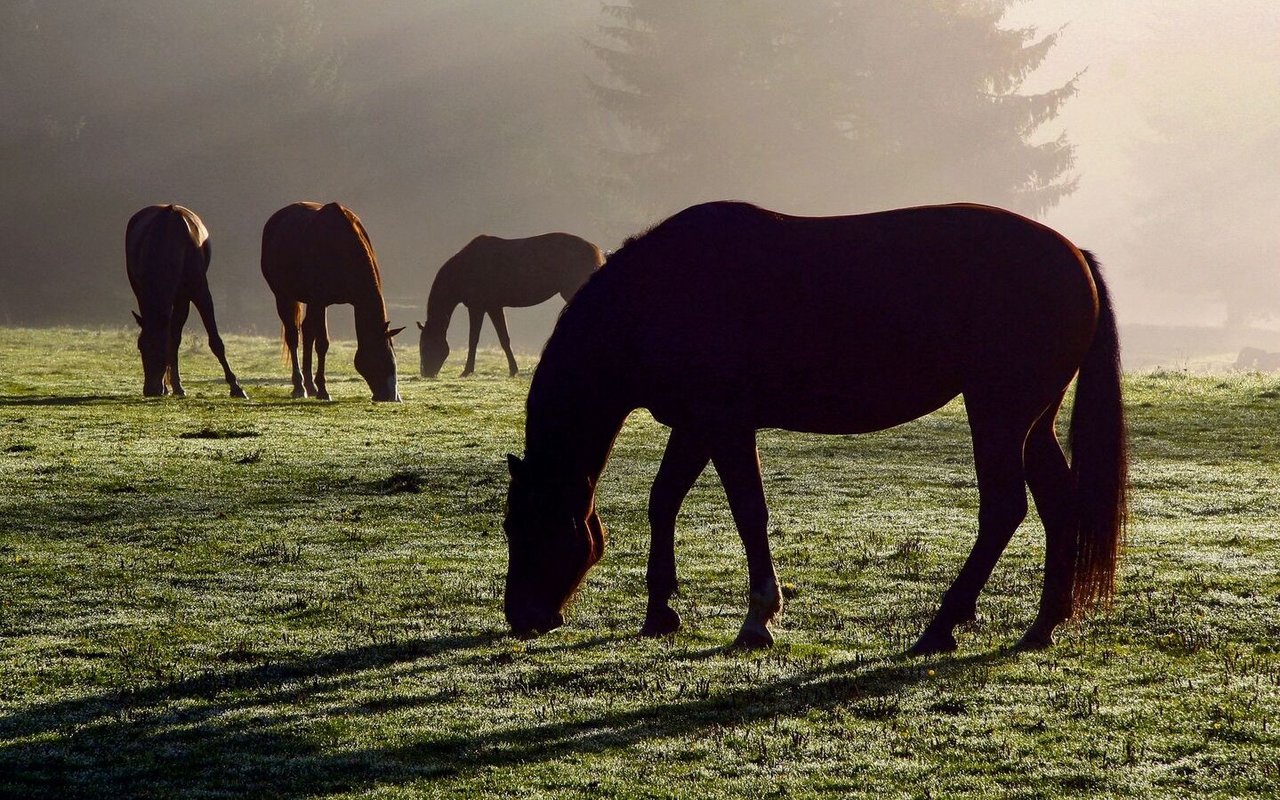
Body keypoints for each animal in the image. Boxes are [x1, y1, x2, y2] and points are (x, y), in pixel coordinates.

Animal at [124, 202, 247, 396]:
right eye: (140, 345)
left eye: (161, 347)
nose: (150, 390)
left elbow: (214, 341)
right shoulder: (145, 294)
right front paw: (168, 385)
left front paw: (236, 387)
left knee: (175, 335)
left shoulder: (198, 293)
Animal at [258, 199, 399, 399]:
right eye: (379, 359)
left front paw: (318, 387)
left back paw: (310, 386)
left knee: (307, 332)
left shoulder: (320, 303)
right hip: (283, 296)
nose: (391, 396)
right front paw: (323, 390)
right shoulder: (319, 301)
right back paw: (299, 387)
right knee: (293, 336)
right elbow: (322, 344)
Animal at [414, 234, 604, 376]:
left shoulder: (480, 307)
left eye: (425, 346)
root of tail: (596, 249)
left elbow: (478, 339)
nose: (426, 373)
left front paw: (467, 371)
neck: (463, 271)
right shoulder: (490, 307)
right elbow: (500, 338)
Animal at [504, 200, 1126, 655]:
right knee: (1058, 505)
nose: (521, 617)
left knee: (1004, 509)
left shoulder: (726, 425)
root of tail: (1074, 255)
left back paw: (941, 626)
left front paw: (758, 619)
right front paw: (661, 611)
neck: (659, 295)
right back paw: (1042, 626)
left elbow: (749, 512)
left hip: (998, 413)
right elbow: (664, 500)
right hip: (1033, 422)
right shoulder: (696, 425)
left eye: (521, 527)